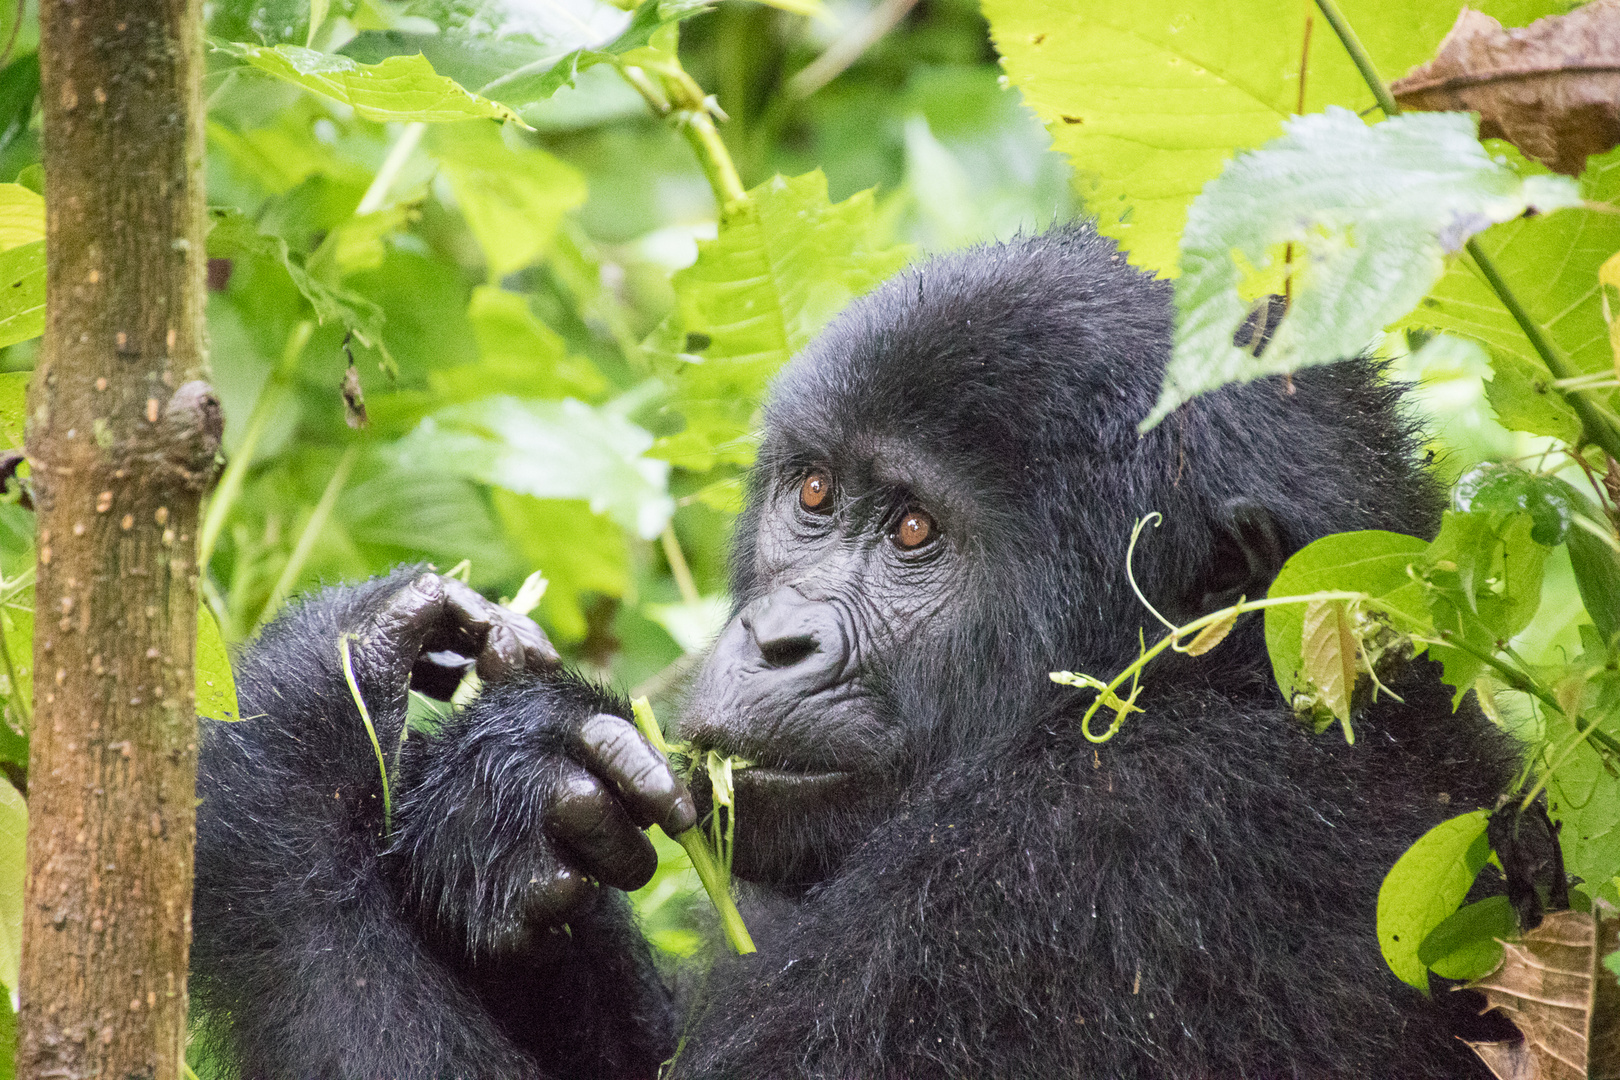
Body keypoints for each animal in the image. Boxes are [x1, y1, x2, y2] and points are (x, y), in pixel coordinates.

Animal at [192, 223, 1516, 1075]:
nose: (773, 639)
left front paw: (287, 740)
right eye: (817, 495)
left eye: (916, 532)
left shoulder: (1112, 846)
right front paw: (518, 795)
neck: (1237, 676)